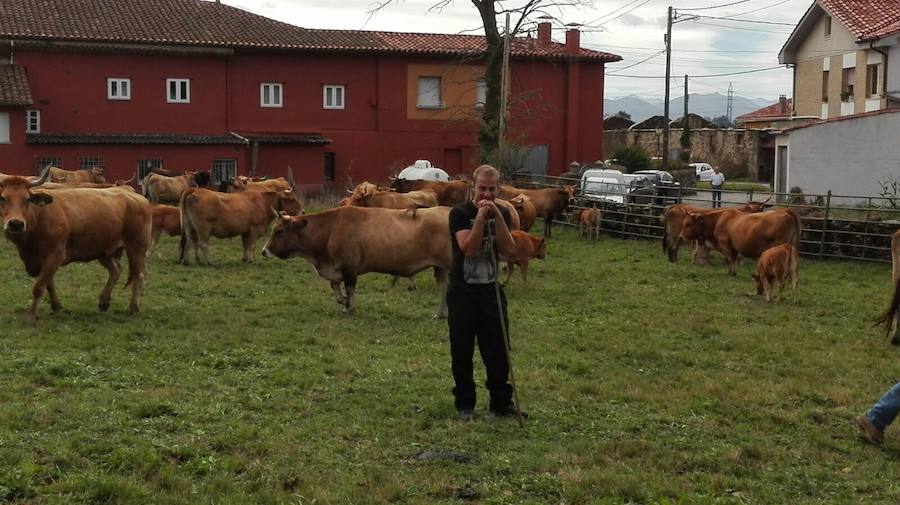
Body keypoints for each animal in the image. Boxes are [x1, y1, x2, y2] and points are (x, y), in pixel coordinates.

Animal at [0, 169, 149, 318]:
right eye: (2, 198)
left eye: (27, 199)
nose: (16, 223)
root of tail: (134, 195)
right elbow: (49, 284)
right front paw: (56, 306)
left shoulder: (55, 256)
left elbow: (39, 287)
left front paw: (31, 315)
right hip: (104, 249)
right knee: (115, 270)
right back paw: (104, 301)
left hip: (137, 246)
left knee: (138, 275)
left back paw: (133, 307)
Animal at [264, 205, 454, 316]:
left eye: (279, 231)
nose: (264, 251)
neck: (330, 228)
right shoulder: (336, 268)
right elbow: (335, 286)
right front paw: (343, 301)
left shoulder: (349, 268)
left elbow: (349, 289)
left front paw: (348, 306)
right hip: (441, 268)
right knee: (444, 288)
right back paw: (440, 313)